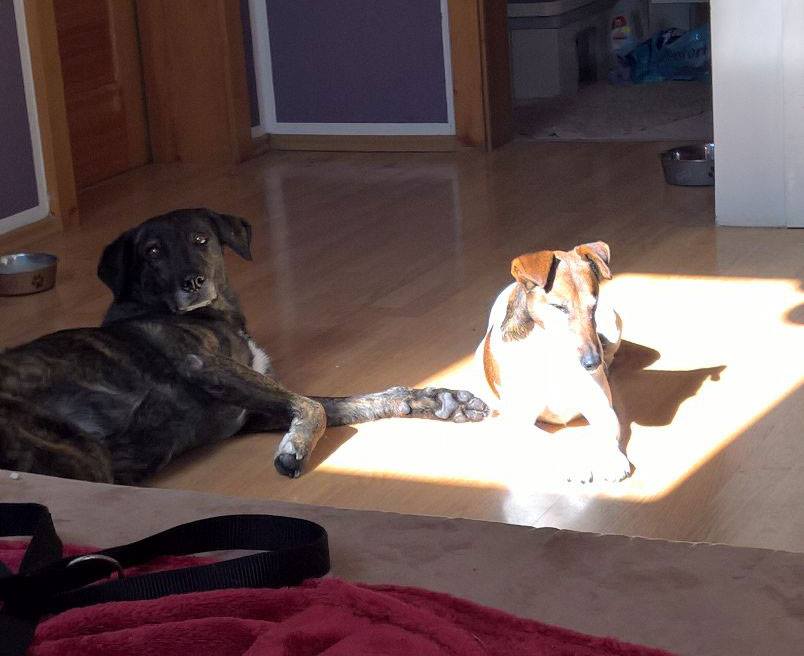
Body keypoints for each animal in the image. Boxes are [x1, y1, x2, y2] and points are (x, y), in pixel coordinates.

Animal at [0, 209, 488, 484]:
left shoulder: (251, 410)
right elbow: (313, 406)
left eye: (201, 240)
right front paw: (295, 450)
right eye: (153, 252)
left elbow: (344, 402)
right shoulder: (202, 364)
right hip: (77, 452)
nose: (192, 282)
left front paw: (437, 399)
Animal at [475, 241, 631, 483]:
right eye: (559, 307)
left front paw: (610, 459)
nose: (592, 363)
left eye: (593, 305)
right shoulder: (516, 421)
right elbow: (550, 440)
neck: (553, 353)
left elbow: (606, 429)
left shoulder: (601, 407)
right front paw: (575, 464)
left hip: (613, 322)